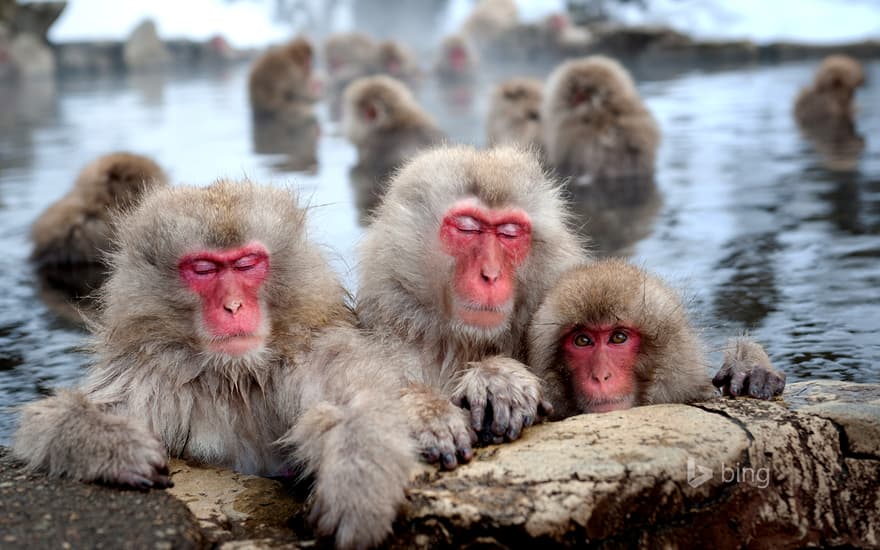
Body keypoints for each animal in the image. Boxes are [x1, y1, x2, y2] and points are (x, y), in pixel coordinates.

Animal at [11, 181, 416, 550]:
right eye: (204, 269)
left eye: (247, 264)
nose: (233, 306)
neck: (235, 375)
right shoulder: (148, 375)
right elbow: (46, 423)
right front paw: (115, 447)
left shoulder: (311, 355)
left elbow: (360, 400)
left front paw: (357, 486)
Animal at [352, 147, 592, 470]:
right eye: (468, 228)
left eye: (509, 233)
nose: (490, 274)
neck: (462, 342)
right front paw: (427, 411)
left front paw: (498, 377)